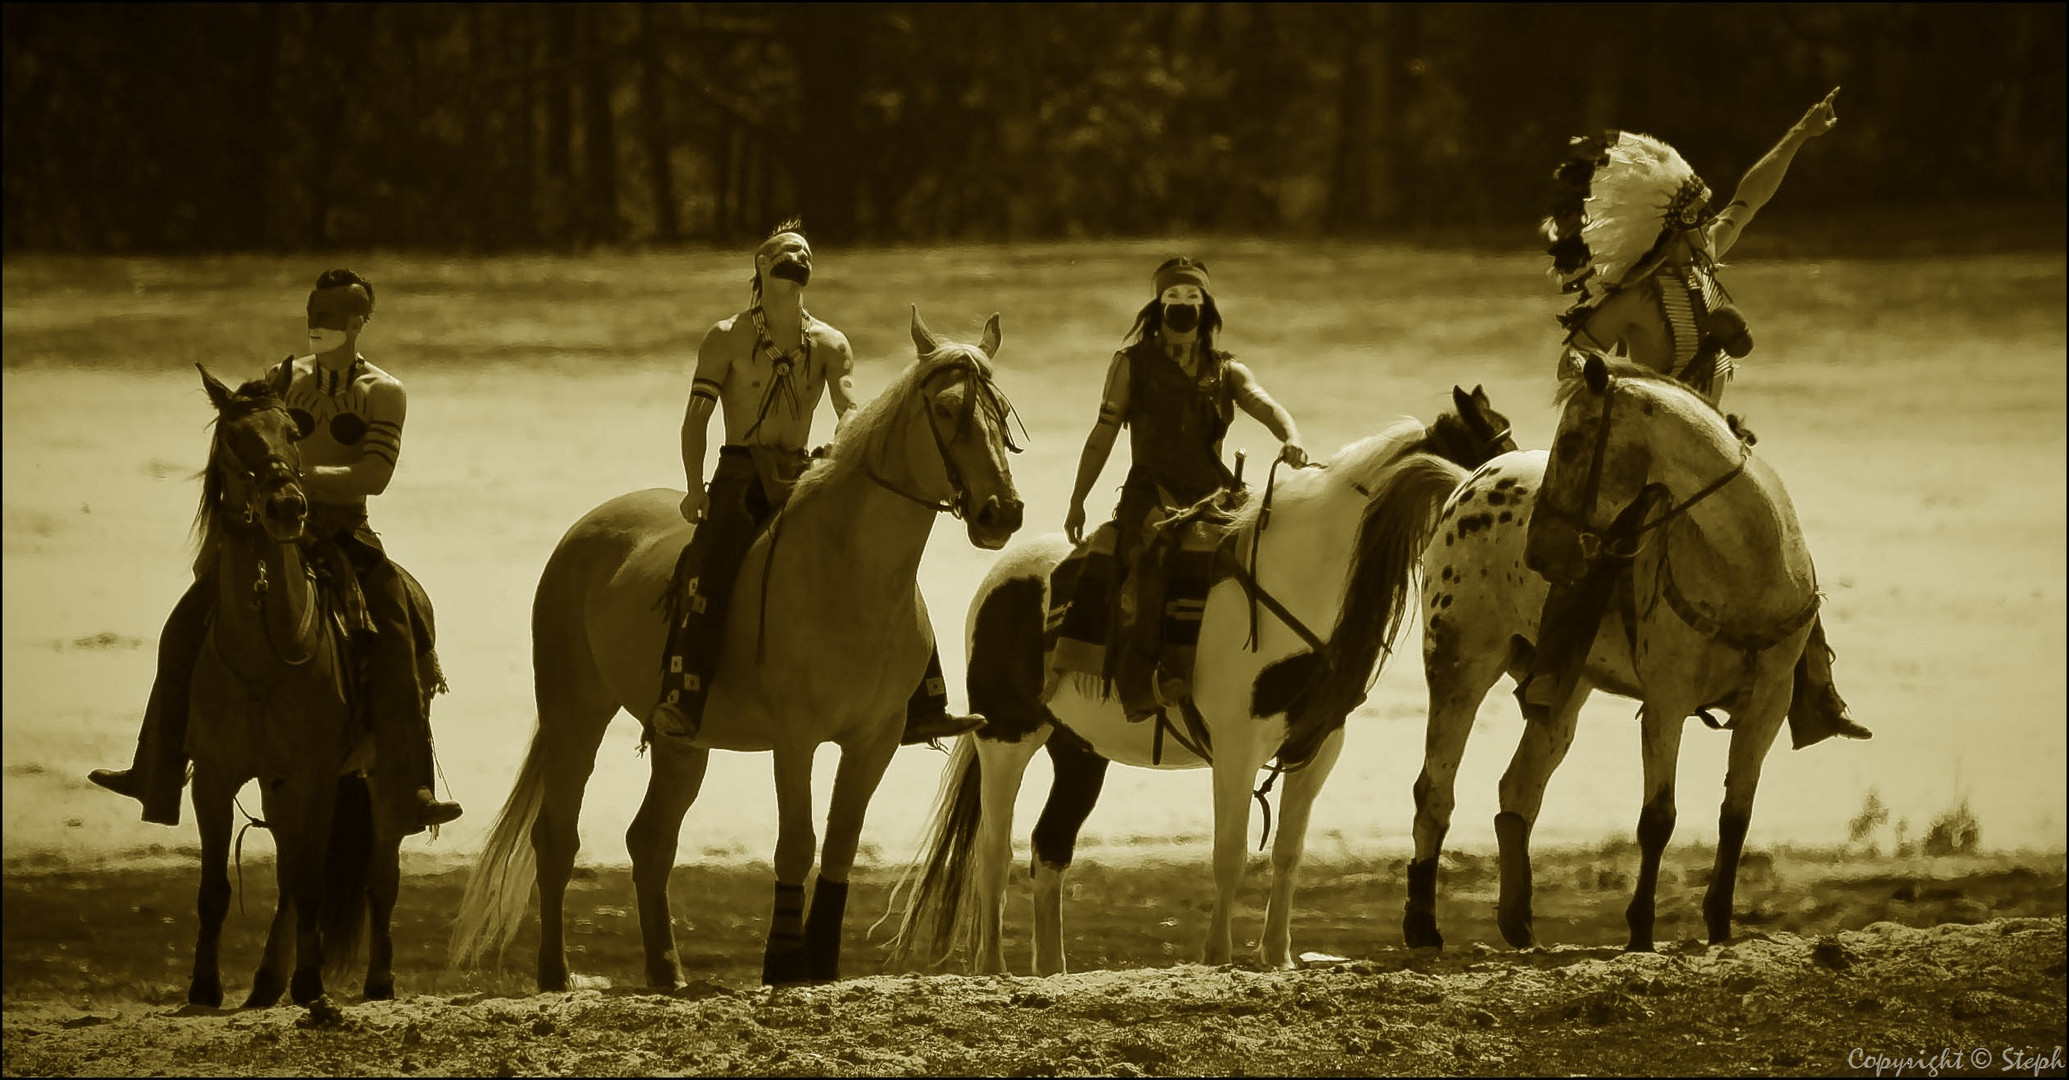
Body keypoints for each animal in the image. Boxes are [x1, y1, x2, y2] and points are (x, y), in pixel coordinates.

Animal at [184, 366, 405, 1013]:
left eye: (291, 432)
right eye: (236, 437)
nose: (286, 506)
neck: (264, 652)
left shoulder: (316, 775)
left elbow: (311, 880)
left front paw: (310, 983)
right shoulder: (214, 776)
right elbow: (215, 886)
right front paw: (204, 986)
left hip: (378, 780)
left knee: (379, 876)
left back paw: (378, 979)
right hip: (277, 787)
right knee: (287, 875)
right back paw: (263, 983)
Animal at [459, 304, 1026, 984]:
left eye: (1002, 410)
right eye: (944, 410)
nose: (1001, 512)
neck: (849, 573)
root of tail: (582, 534)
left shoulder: (875, 738)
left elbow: (841, 843)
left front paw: (821, 962)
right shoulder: (795, 737)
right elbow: (797, 842)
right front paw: (783, 961)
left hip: (682, 743)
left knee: (650, 841)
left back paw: (667, 971)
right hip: (576, 714)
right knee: (557, 837)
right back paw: (555, 972)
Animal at [881, 384, 1514, 968]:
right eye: (1491, 459)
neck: (1296, 580)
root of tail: (998, 580)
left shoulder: (1317, 745)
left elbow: (1288, 852)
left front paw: (1277, 956)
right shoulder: (1238, 745)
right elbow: (1229, 852)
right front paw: (1217, 956)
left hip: (1079, 751)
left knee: (1049, 848)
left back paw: (1052, 970)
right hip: (1006, 738)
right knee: (994, 851)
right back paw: (993, 967)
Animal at [1398, 355, 1820, 951]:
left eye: (1573, 441)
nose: (1540, 548)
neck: (1744, 567)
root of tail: (1469, 483)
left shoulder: (1768, 706)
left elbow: (1736, 815)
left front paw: (1719, 926)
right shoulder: (1668, 701)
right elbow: (1658, 818)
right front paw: (1640, 929)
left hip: (1564, 694)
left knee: (1518, 790)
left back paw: (1517, 920)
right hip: (1461, 666)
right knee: (1434, 789)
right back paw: (1422, 923)